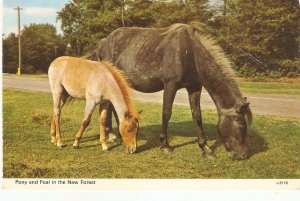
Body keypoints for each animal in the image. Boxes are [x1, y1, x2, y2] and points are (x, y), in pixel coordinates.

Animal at [85, 22, 253, 160]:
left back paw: (115, 135)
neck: (190, 53)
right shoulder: (170, 85)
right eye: (241, 125)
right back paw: (113, 136)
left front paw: (205, 148)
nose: (244, 155)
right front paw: (165, 145)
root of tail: (103, 42)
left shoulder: (194, 87)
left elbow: (197, 116)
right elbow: (166, 113)